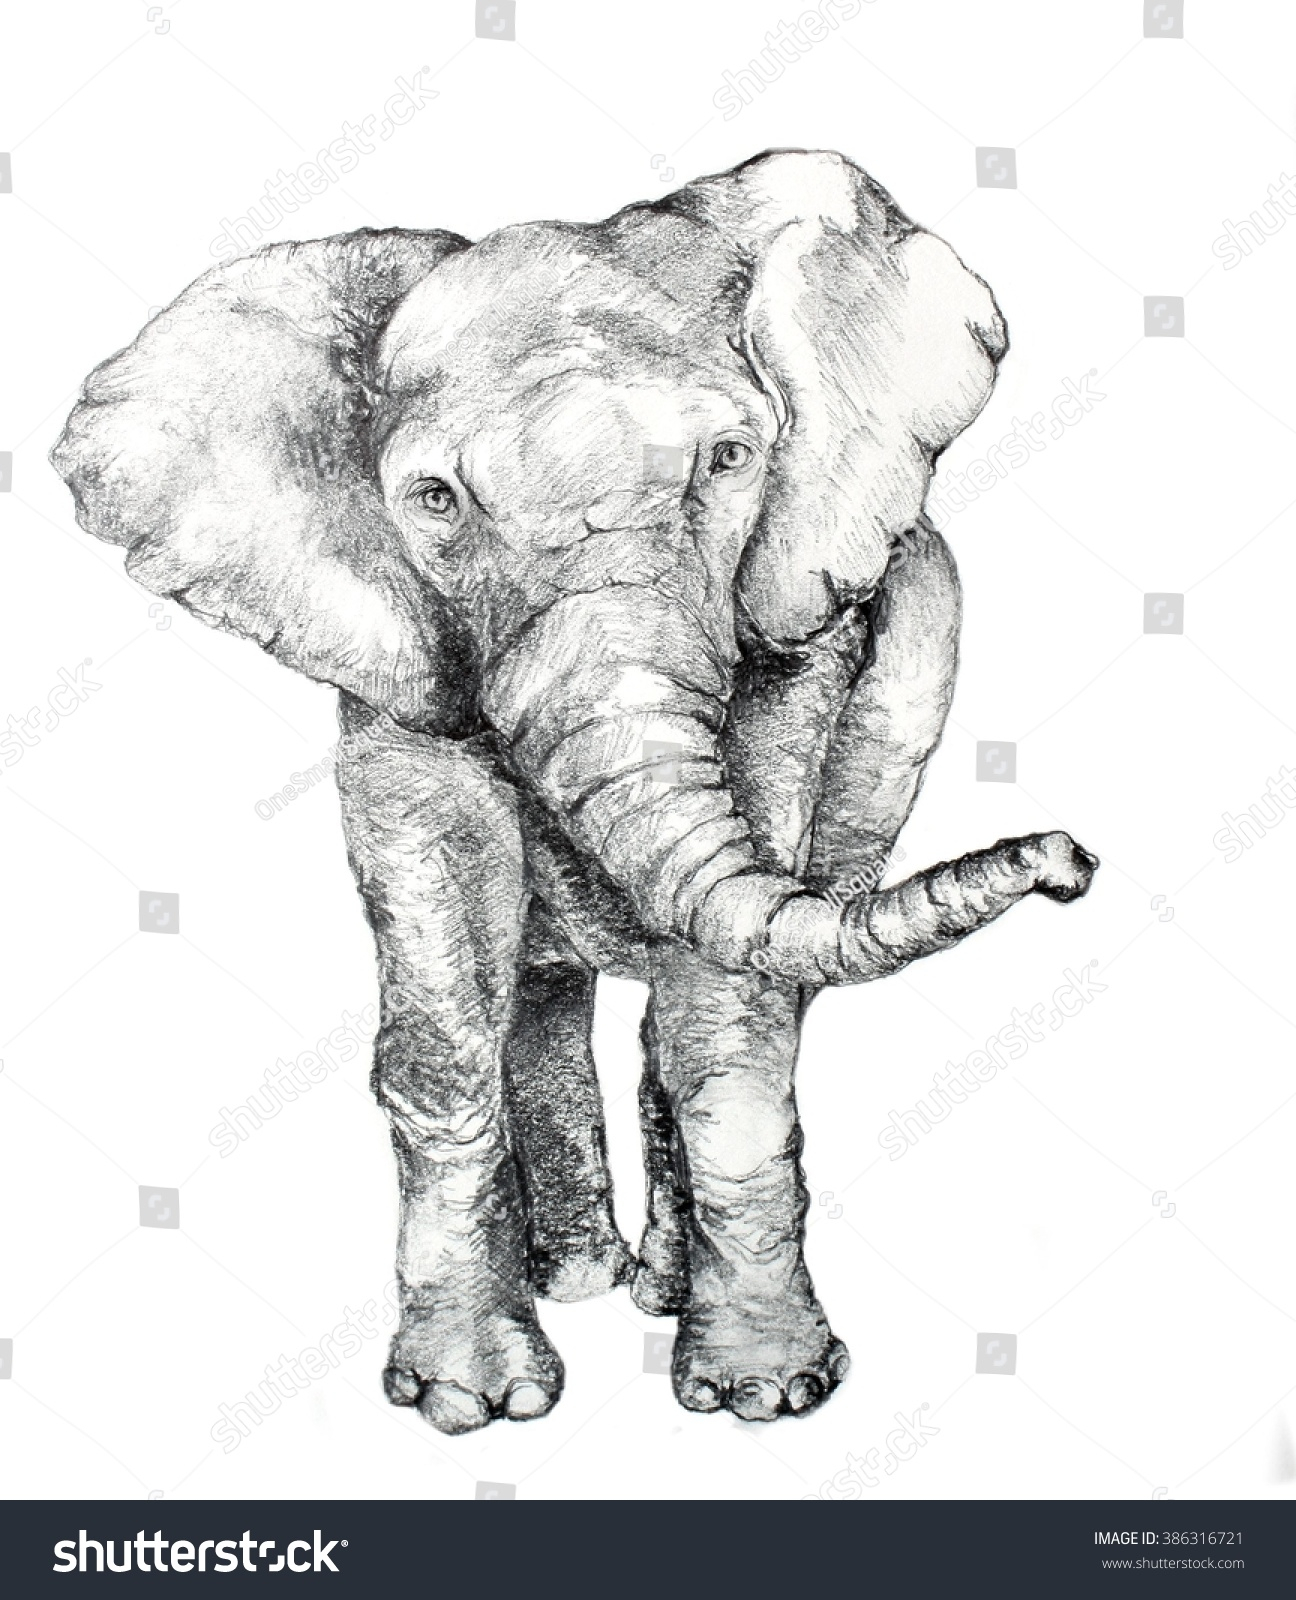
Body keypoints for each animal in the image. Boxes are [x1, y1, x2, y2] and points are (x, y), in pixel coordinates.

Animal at [52, 149, 1097, 1432]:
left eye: (732, 460)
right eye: (435, 500)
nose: (1071, 861)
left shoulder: (801, 627)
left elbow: (728, 1010)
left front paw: (766, 1394)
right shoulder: (393, 648)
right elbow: (446, 970)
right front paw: (469, 1402)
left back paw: (651, 1290)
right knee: (537, 993)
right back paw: (580, 1281)